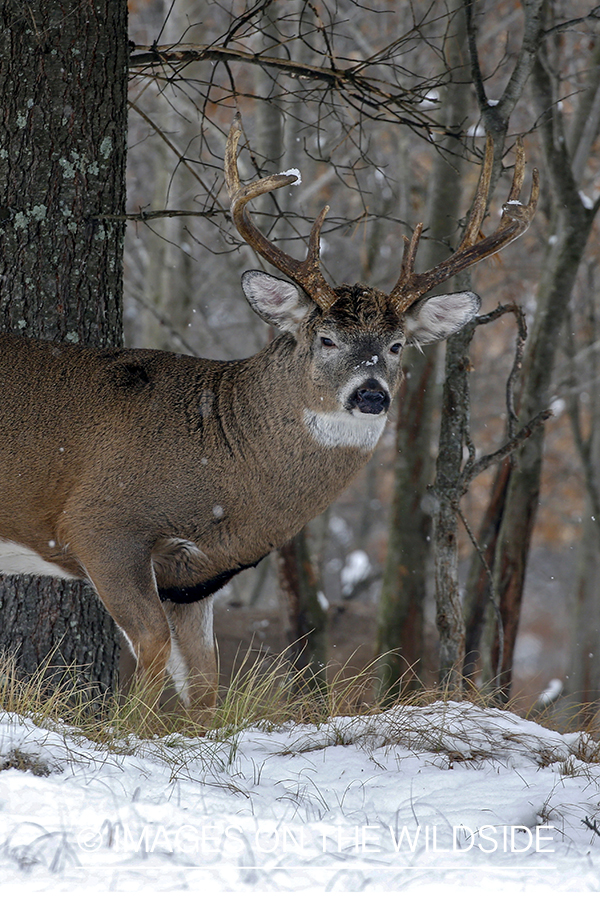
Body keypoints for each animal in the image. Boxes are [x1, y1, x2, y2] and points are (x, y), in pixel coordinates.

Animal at [0, 116, 540, 712]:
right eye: (326, 339)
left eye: (397, 346)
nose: (371, 394)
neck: (218, 458)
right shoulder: (99, 525)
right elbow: (152, 649)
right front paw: (124, 727)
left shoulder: (192, 580)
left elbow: (205, 685)